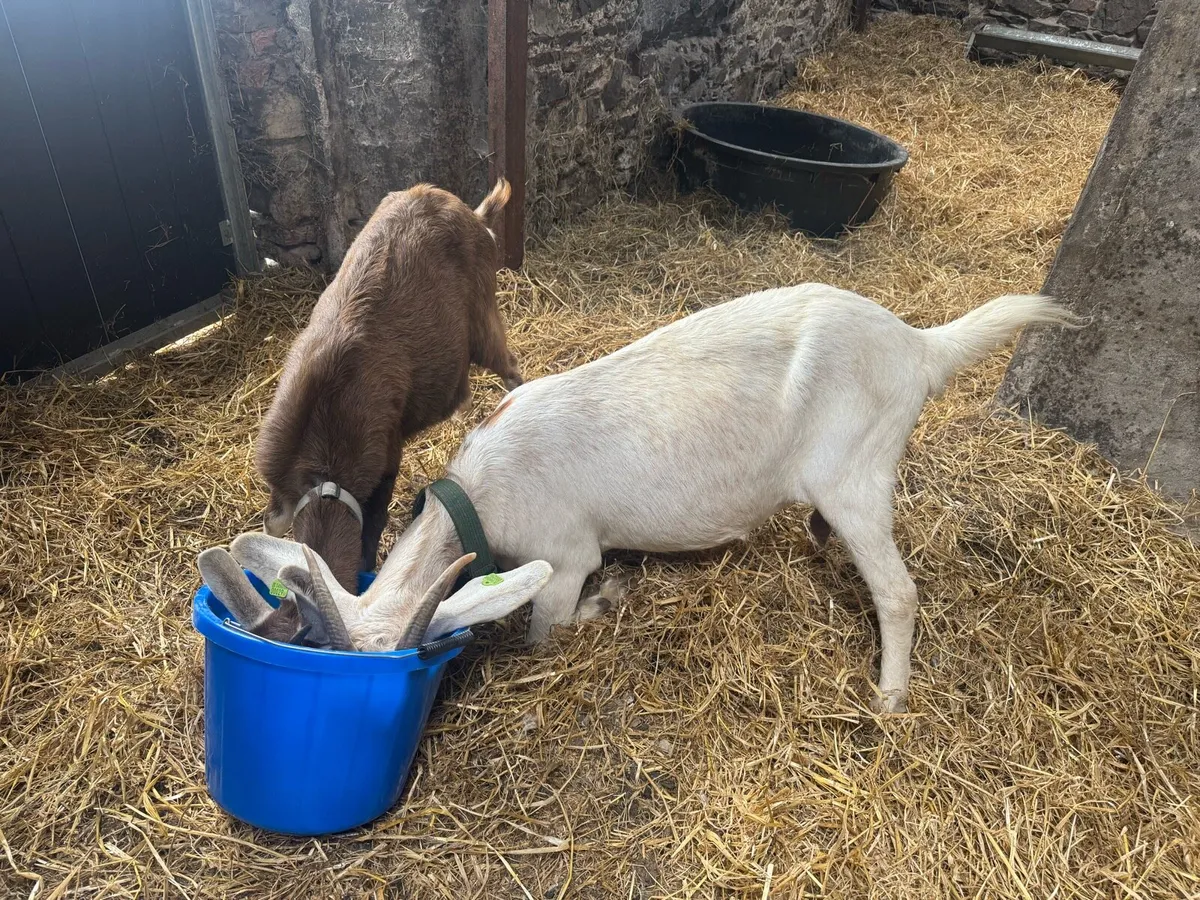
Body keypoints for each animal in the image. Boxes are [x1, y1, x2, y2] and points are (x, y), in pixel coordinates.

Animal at [251, 284, 1082, 711]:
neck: (479, 495)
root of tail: (918, 346)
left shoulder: (564, 554)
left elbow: (547, 633)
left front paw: (609, 598)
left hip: (858, 470)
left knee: (900, 592)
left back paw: (889, 696)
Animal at [254, 179, 524, 595]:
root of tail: (474, 214)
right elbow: (274, 523)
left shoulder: (385, 455)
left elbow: (372, 527)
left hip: (484, 316)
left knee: (509, 364)